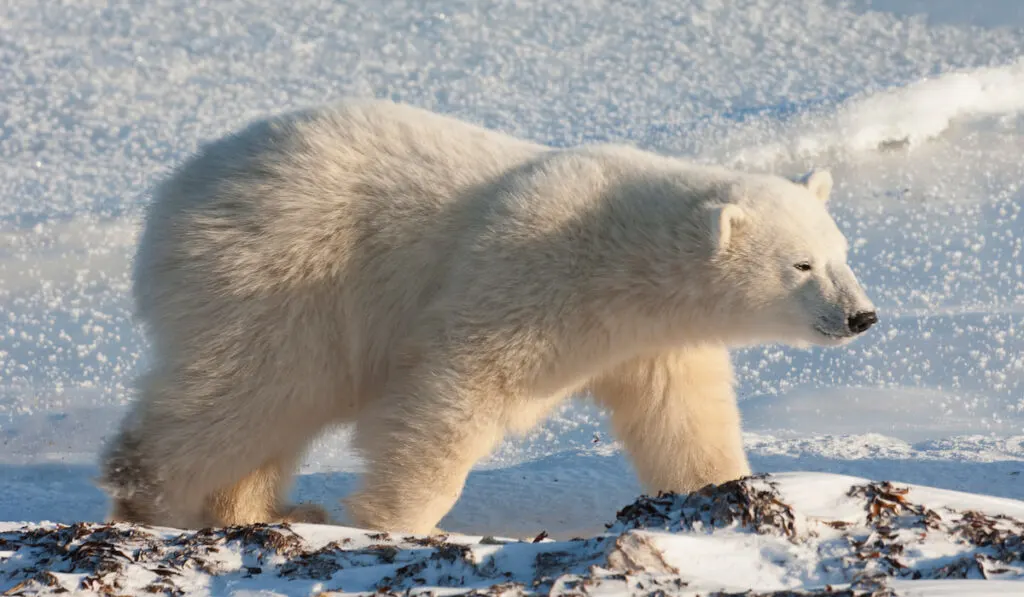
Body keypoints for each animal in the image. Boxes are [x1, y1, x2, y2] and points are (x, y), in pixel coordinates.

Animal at [97, 100, 880, 536]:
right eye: (801, 265)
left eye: (842, 252)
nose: (862, 316)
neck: (620, 255)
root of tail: (176, 192)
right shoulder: (527, 275)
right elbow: (455, 391)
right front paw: (394, 522)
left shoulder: (649, 341)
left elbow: (683, 416)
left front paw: (726, 492)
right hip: (281, 274)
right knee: (251, 388)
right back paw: (153, 495)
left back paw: (264, 511)